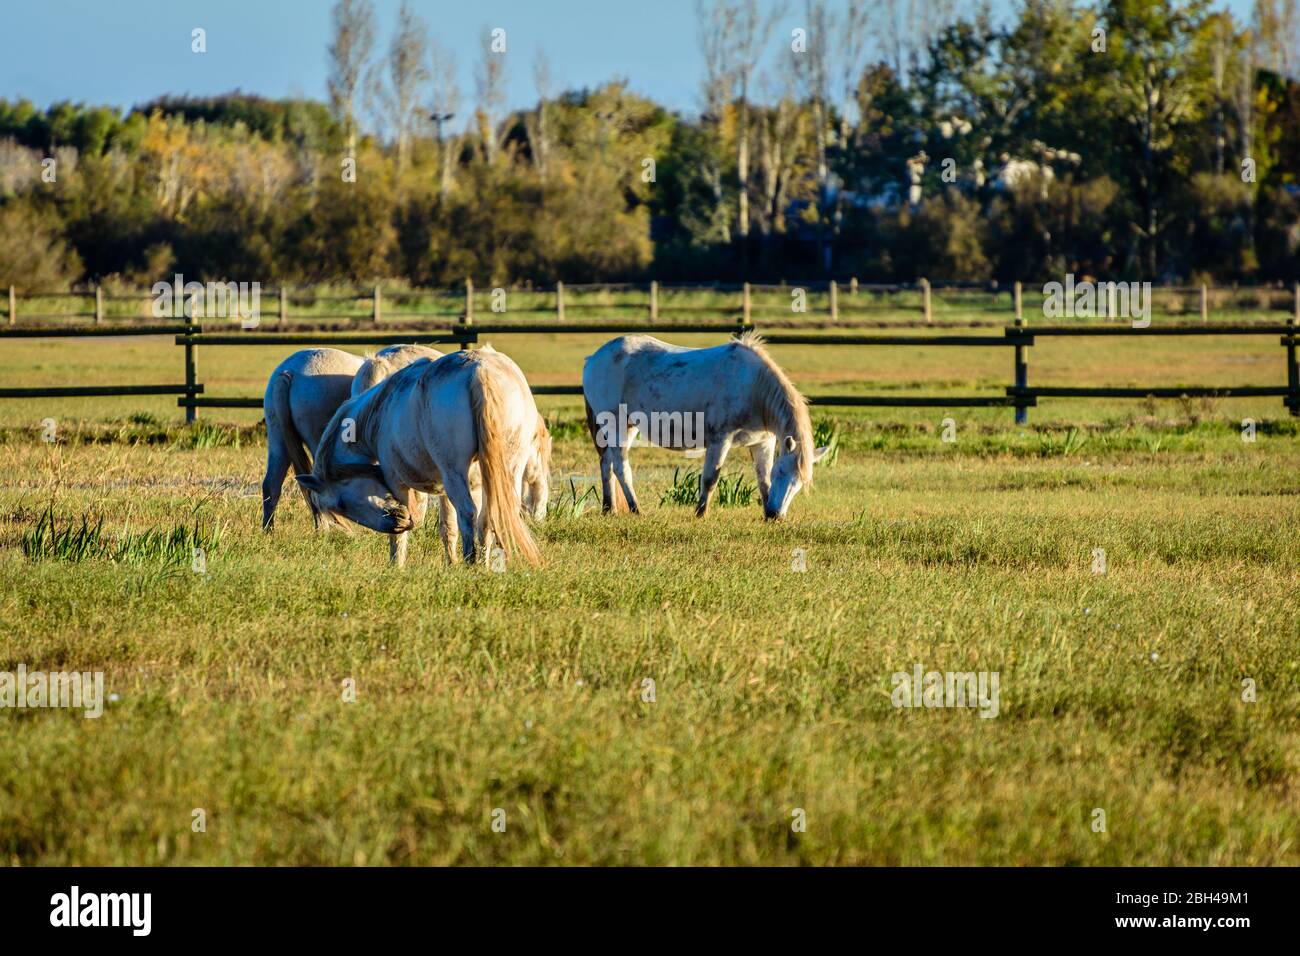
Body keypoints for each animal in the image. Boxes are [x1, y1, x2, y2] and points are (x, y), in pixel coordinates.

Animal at [297, 345, 543, 564]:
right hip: (508, 470)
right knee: (490, 516)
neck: (379, 413)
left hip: (455, 473)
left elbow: (402, 537)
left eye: (341, 505)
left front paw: (396, 565)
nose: (397, 520)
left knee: (467, 513)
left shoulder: (397, 482)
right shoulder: (463, 487)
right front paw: (451, 563)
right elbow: (451, 527)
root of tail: (479, 370)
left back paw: (470, 562)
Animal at [585, 332, 826, 520]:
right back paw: (636, 509)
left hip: (627, 426)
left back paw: (609, 508)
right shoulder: (720, 440)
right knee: (620, 466)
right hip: (615, 424)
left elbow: (763, 480)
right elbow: (710, 478)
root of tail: (593, 358)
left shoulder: (763, 443)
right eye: (781, 472)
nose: (776, 515)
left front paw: (765, 512)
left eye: (799, 482)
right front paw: (701, 513)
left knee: (607, 463)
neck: (753, 387)